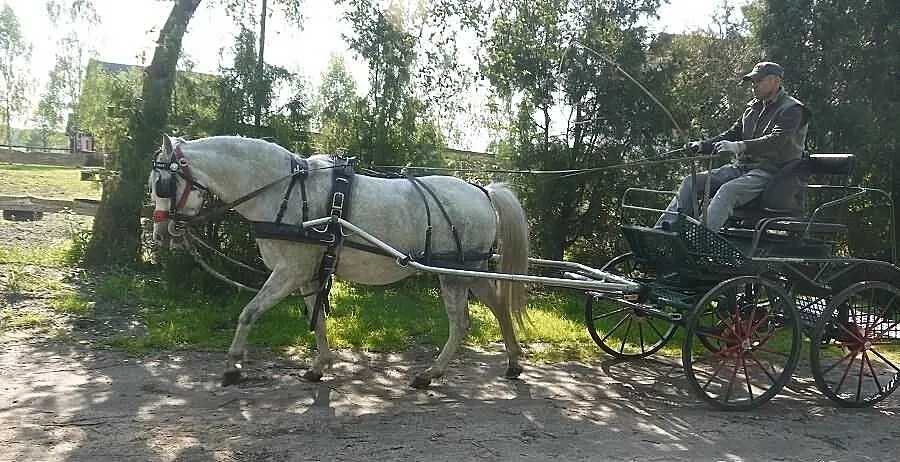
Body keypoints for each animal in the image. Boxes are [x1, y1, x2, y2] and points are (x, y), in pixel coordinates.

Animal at [149, 135, 531, 388]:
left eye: (162, 184)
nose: (161, 234)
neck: (283, 191)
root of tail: (483, 191)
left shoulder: (290, 271)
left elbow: (249, 312)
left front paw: (232, 367)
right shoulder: (308, 274)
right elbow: (316, 320)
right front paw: (319, 366)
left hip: (453, 273)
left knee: (461, 323)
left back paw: (430, 374)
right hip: (470, 269)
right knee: (498, 307)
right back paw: (512, 362)